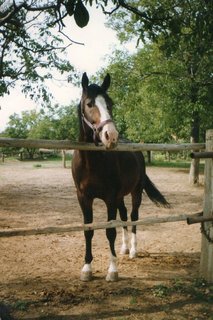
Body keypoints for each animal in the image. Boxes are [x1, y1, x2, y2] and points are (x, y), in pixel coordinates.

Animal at [71, 73, 170, 282]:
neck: (92, 162)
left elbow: (110, 231)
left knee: (133, 217)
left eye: (110, 103)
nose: (111, 136)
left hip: (135, 193)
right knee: (124, 215)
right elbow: (88, 230)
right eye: (89, 103)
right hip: (120, 197)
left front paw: (112, 270)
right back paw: (124, 248)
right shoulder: (84, 198)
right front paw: (87, 268)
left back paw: (132, 250)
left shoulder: (109, 198)